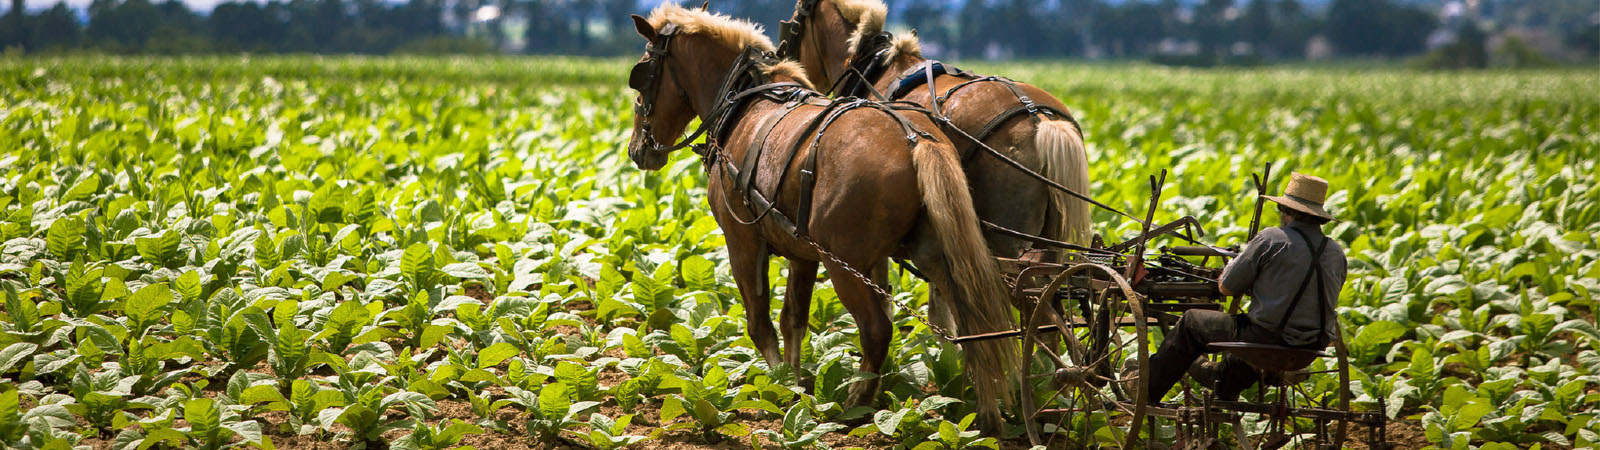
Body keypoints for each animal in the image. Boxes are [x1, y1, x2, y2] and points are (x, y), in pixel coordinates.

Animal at [624, 3, 1011, 432]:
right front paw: (795, 387)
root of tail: (916, 139)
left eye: (642, 75)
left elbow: (760, 324)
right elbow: (793, 319)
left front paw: (778, 389)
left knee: (877, 330)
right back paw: (984, 413)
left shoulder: (742, 241)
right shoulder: (800, 251)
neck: (744, 102)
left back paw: (856, 406)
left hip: (843, 265)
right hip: (936, 258)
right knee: (973, 326)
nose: (638, 149)